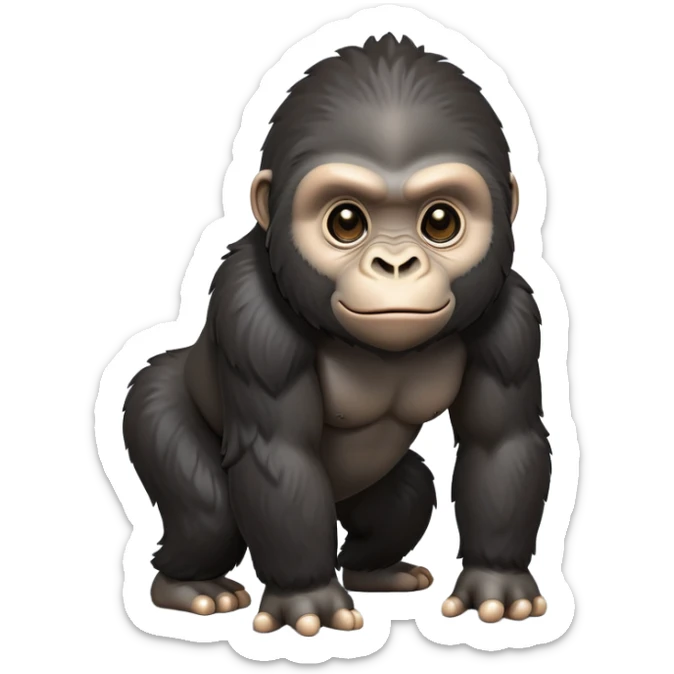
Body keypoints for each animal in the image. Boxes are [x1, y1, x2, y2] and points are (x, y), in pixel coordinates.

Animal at [122, 34, 551, 637]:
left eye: (440, 221)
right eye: (346, 221)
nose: (395, 265)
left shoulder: (510, 317)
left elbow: (501, 441)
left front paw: (498, 579)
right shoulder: (250, 315)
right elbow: (280, 454)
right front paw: (307, 598)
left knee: (404, 501)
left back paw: (380, 572)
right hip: (153, 405)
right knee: (207, 515)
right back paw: (187, 586)